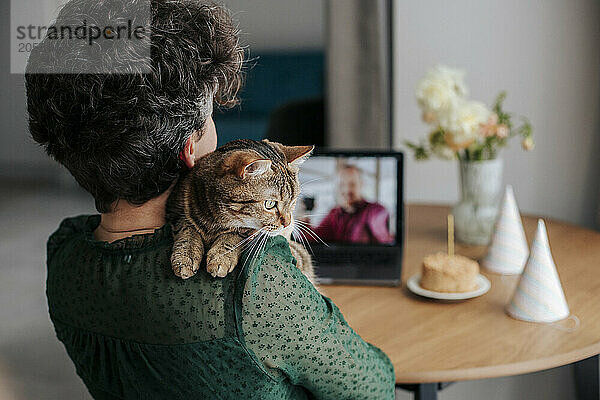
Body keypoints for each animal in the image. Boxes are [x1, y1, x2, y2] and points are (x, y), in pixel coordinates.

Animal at [164, 139, 314, 282]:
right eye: (270, 204)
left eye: (293, 201)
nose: (287, 223)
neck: (215, 222)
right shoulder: (175, 209)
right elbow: (187, 230)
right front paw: (185, 256)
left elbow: (235, 235)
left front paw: (221, 257)